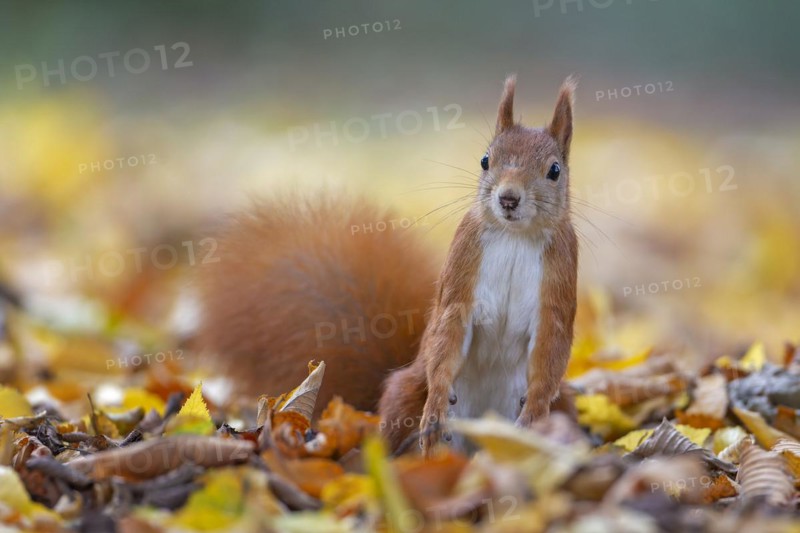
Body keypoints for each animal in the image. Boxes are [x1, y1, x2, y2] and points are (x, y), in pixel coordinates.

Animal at [195, 75, 578, 456]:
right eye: (485, 160)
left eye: (554, 170)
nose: (508, 198)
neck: (514, 236)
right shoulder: (461, 273)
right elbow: (447, 334)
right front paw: (436, 406)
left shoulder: (559, 284)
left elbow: (551, 348)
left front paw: (534, 413)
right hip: (405, 393)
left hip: (565, 405)